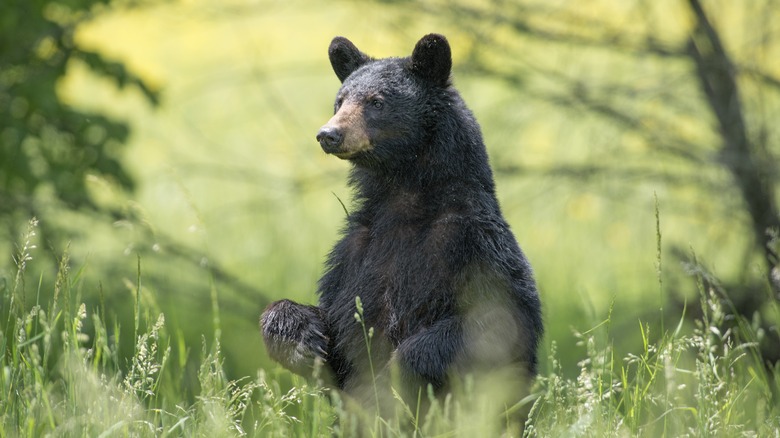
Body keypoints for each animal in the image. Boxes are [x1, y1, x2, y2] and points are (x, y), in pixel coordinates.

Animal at [262, 34, 544, 408]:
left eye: (376, 101)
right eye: (340, 101)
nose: (328, 134)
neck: (403, 201)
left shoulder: (474, 243)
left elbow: (497, 319)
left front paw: (396, 376)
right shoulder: (353, 255)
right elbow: (336, 319)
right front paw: (301, 341)